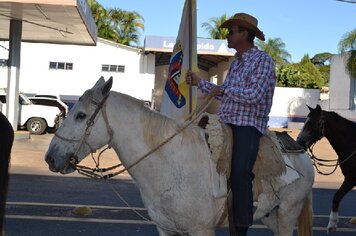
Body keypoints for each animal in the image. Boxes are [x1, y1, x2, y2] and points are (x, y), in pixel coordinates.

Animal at [44, 77, 314, 236]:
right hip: (271, 215)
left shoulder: (202, 230)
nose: (50, 158)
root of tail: (300, 152)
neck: (169, 166)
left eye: (81, 115)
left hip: (288, 213)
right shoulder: (166, 230)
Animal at [296, 104, 356, 232]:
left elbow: (337, 196)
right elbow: (337, 197)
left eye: (315, 123)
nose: (299, 142)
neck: (353, 143)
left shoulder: (351, 179)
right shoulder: (349, 178)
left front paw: (332, 224)